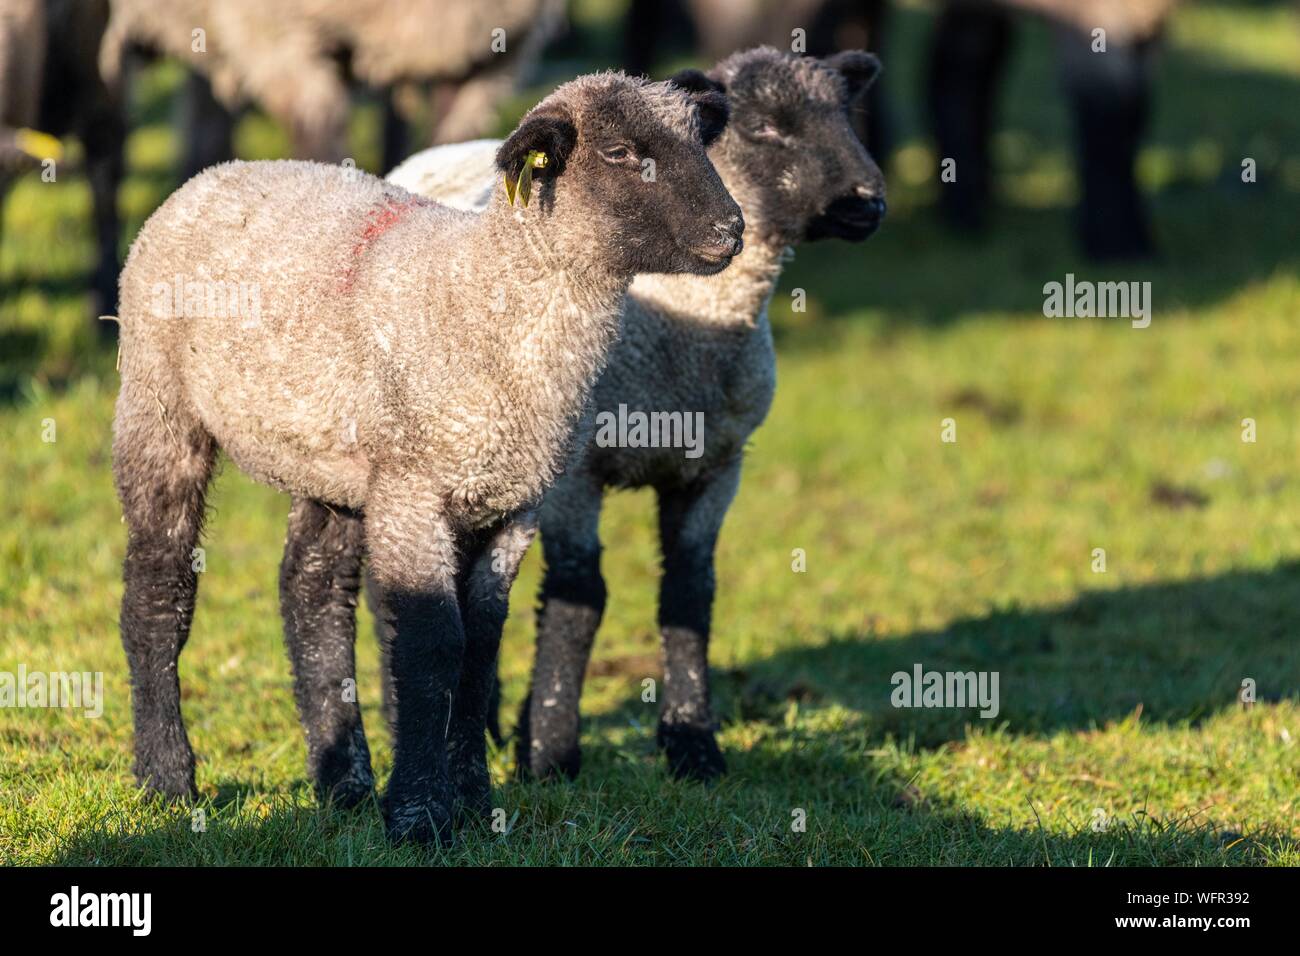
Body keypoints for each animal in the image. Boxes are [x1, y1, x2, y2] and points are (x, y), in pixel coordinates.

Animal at [112, 70, 742, 844]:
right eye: (620, 152)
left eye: (698, 141)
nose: (732, 230)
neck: (487, 299)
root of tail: (215, 174)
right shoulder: (417, 494)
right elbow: (432, 644)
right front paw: (419, 815)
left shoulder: (511, 504)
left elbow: (481, 647)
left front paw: (470, 798)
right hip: (159, 405)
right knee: (158, 590)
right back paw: (168, 779)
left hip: (337, 460)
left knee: (311, 591)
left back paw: (343, 782)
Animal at [387, 47, 886, 780]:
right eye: (765, 126)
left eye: (846, 114)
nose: (868, 201)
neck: (689, 333)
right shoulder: (575, 476)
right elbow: (578, 597)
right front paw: (551, 751)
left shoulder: (716, 468)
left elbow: (688, 594)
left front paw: (692, 744)